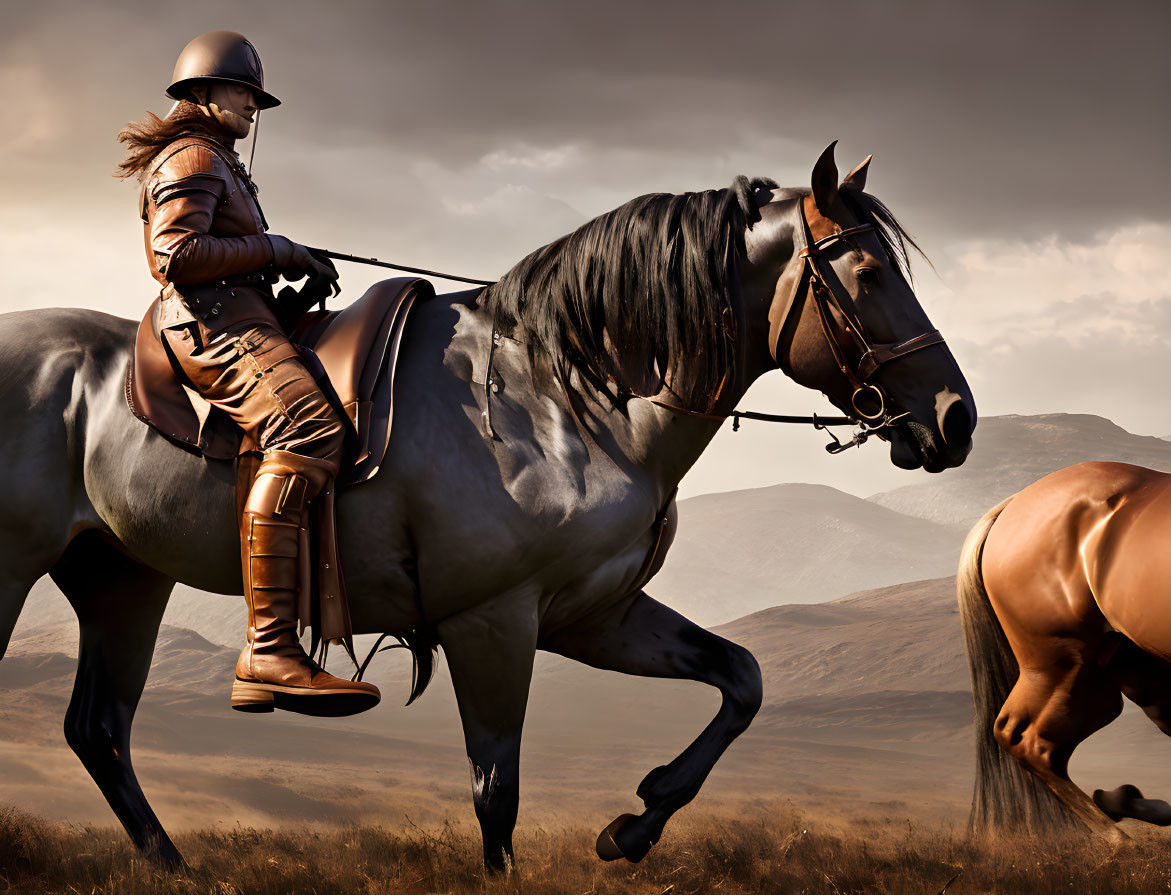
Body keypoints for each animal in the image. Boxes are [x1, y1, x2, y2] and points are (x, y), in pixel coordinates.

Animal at [0, 145, 969, 866]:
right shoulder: (491, 622)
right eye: (868, 271)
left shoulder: (590, 614)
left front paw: (636, 821)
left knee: (100, 729)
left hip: (123, 580)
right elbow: (495, 792)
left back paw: (176, 867)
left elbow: (741, 677)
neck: (564, 396)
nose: (954, 418)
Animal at [955, 461, 1171, 838]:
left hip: (1113, 670)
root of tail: (1010, 506)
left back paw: (1125, 805)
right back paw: (1119, 836)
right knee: (1027, 741)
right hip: (1063, 668)